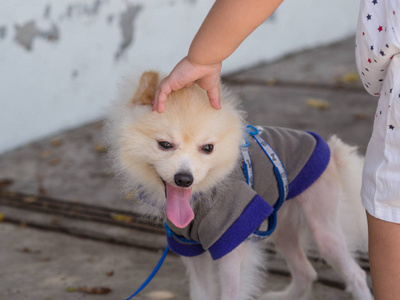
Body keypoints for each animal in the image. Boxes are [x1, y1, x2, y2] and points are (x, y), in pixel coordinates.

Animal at [104, 71, 374, 298]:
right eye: (165, 145)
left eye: (208, 148)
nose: (184, 178)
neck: (199, 199)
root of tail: (330, 149)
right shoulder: (188, 246)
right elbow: (201, 293)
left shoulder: (231, 242)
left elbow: (231, 292)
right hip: (282, 228)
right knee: (306, 272)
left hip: (324, 230)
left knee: (356, 275)